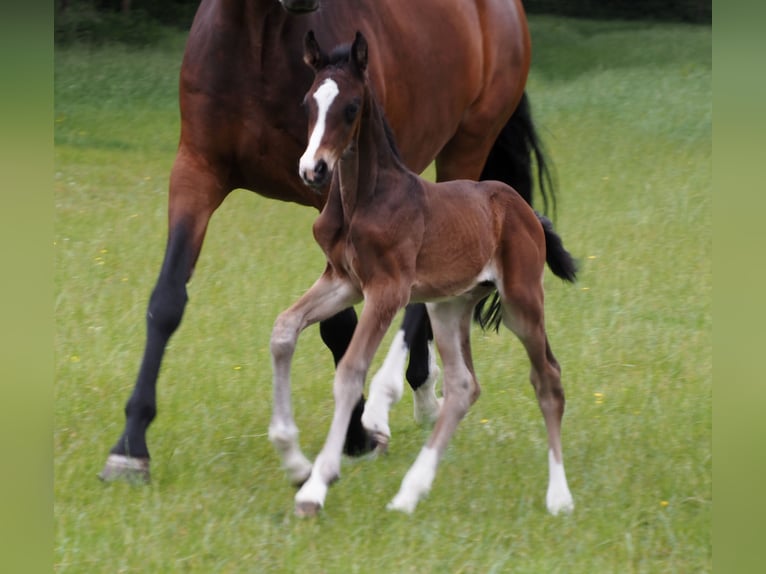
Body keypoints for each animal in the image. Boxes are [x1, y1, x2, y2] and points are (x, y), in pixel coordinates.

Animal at [99, 0, 556, 483]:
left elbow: (339, 325)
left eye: (350, 108)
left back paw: (388, 402)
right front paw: (130, 447)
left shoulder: (332, 190)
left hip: (467, 147)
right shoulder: (196, 172)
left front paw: (355, 436)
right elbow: (167, 301)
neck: (258, 41)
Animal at [270, 31, 576, 517]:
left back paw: (559, 497)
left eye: (352, 107)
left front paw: (315, 486)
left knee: (548, 378)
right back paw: (409, 492)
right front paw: (292, 456)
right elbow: (283, 330)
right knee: (464, 386)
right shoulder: (344, 282)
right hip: (448, 306)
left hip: (521, 302)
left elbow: (351, 372)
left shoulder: (387, 291)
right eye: (307, 103)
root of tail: (525, 210)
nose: (312, 170)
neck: (364, 198)